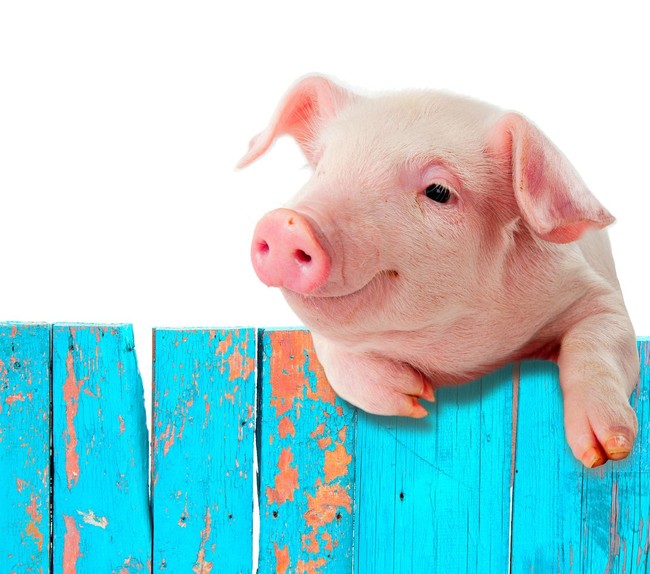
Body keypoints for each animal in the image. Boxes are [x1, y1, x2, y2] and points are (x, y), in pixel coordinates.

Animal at [238, 75, 639, 469]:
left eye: (438, 191)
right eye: (321, 168)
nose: (286, 223)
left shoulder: (595, 293)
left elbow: (597, 341)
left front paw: (609, 450)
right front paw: (416, 399)